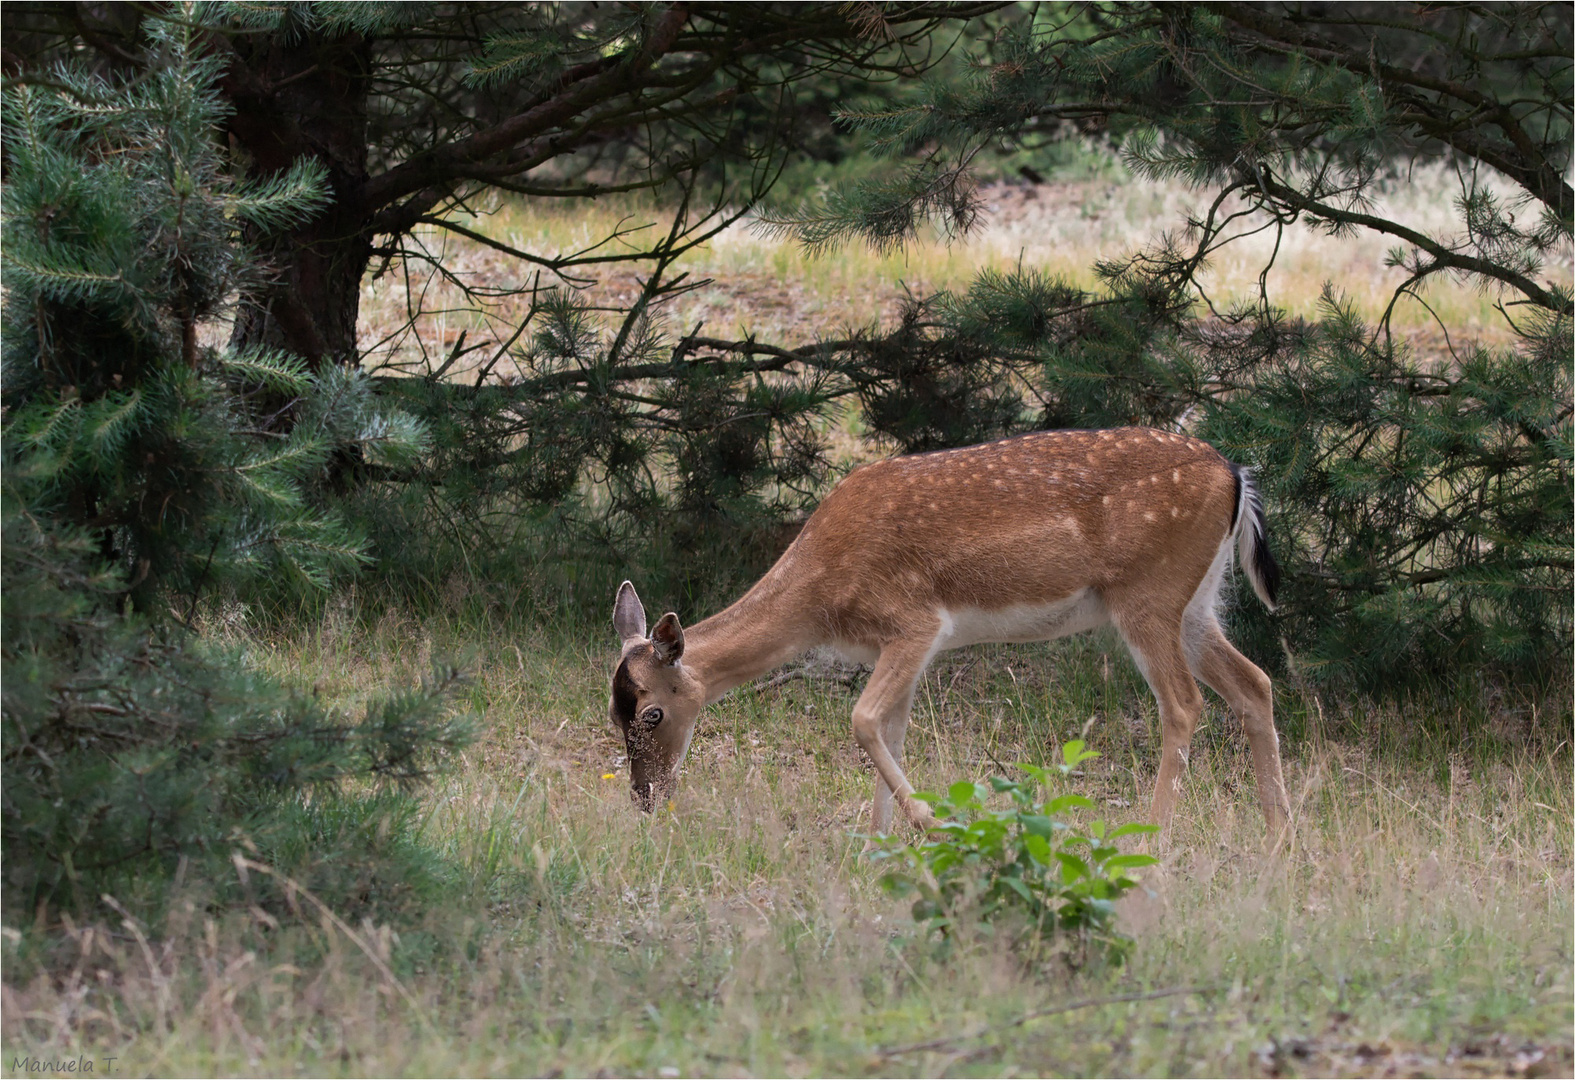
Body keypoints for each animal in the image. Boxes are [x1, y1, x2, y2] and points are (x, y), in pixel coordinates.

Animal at [607, 428, 1285, 843]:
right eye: (612, 712)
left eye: (652, 713)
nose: (645, 797)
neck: (819, 596)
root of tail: (1235, 474)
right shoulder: (900, 646)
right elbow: (890, 731)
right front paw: (879, 846)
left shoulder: (914, 622)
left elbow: (862, 719)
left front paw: (929, 823)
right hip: (1196, 603)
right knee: (1255, 683)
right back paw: (1280, 838)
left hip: (1148, 594)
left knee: (1185, 704)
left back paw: (1153, 840)